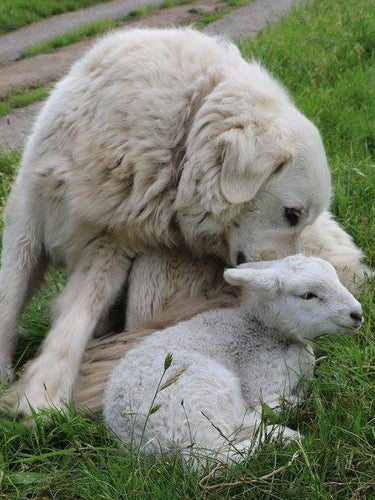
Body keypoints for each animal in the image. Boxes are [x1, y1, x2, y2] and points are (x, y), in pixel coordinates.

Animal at [0, 27, 362, 416]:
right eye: (291, 214)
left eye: (301, 219)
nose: (278, 282)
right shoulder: (28, 217)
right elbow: (10, 297)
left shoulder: (110, 244)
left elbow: (76, 316)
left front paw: (42, 394)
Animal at [103, 256, 364, 462]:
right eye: (308, 295)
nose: (357, 314)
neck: (265, 331)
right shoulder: (261, 384)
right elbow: (268, 401)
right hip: (197, 395)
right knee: (216, 456)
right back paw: (286, 434)